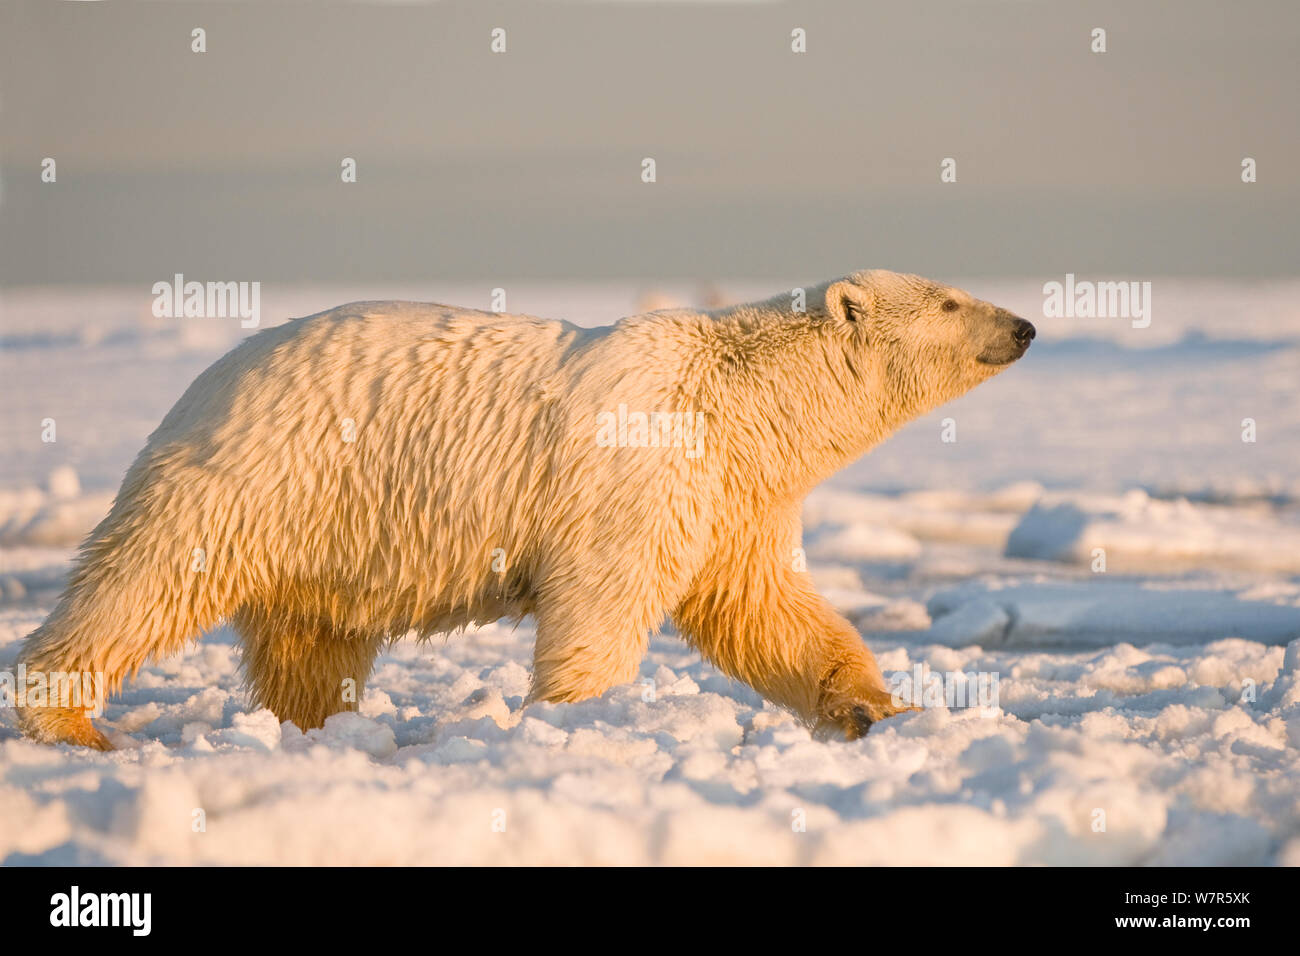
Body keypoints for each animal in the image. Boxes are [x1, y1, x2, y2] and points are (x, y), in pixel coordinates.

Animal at [15, 267, 1029, 749]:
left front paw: (875, 707)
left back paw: (321, 728)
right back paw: (70, 718)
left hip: (324, 525)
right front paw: (580, 721)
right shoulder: (641, 466)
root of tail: (206, 379)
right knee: (145, 578)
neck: (737, 398)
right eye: (949, 299)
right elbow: (607, 597)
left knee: (313, 638)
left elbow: (760, 607)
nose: (1022, 326)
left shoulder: (735, 489)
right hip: (264, 472)